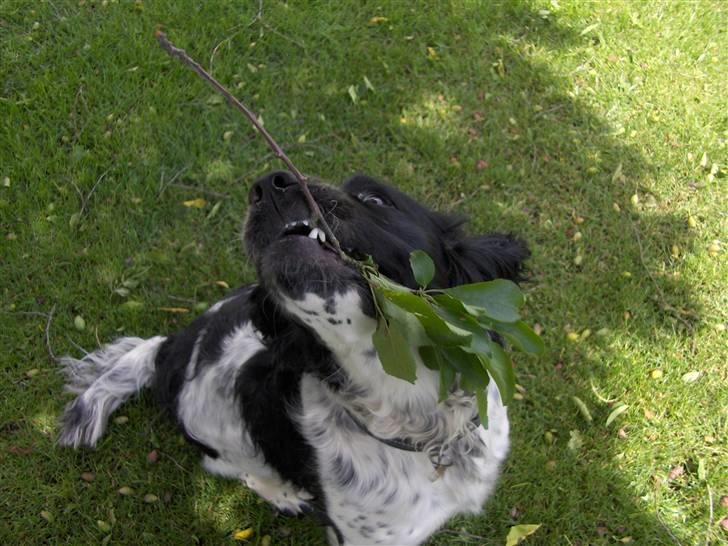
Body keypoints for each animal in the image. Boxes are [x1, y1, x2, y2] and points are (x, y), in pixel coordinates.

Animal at [58, 169, 528, 540]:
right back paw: (283, 493)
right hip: (225, 437)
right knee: (234, 467)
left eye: (375, 199)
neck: (426, 430)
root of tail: (170, 348)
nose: (268, 185)